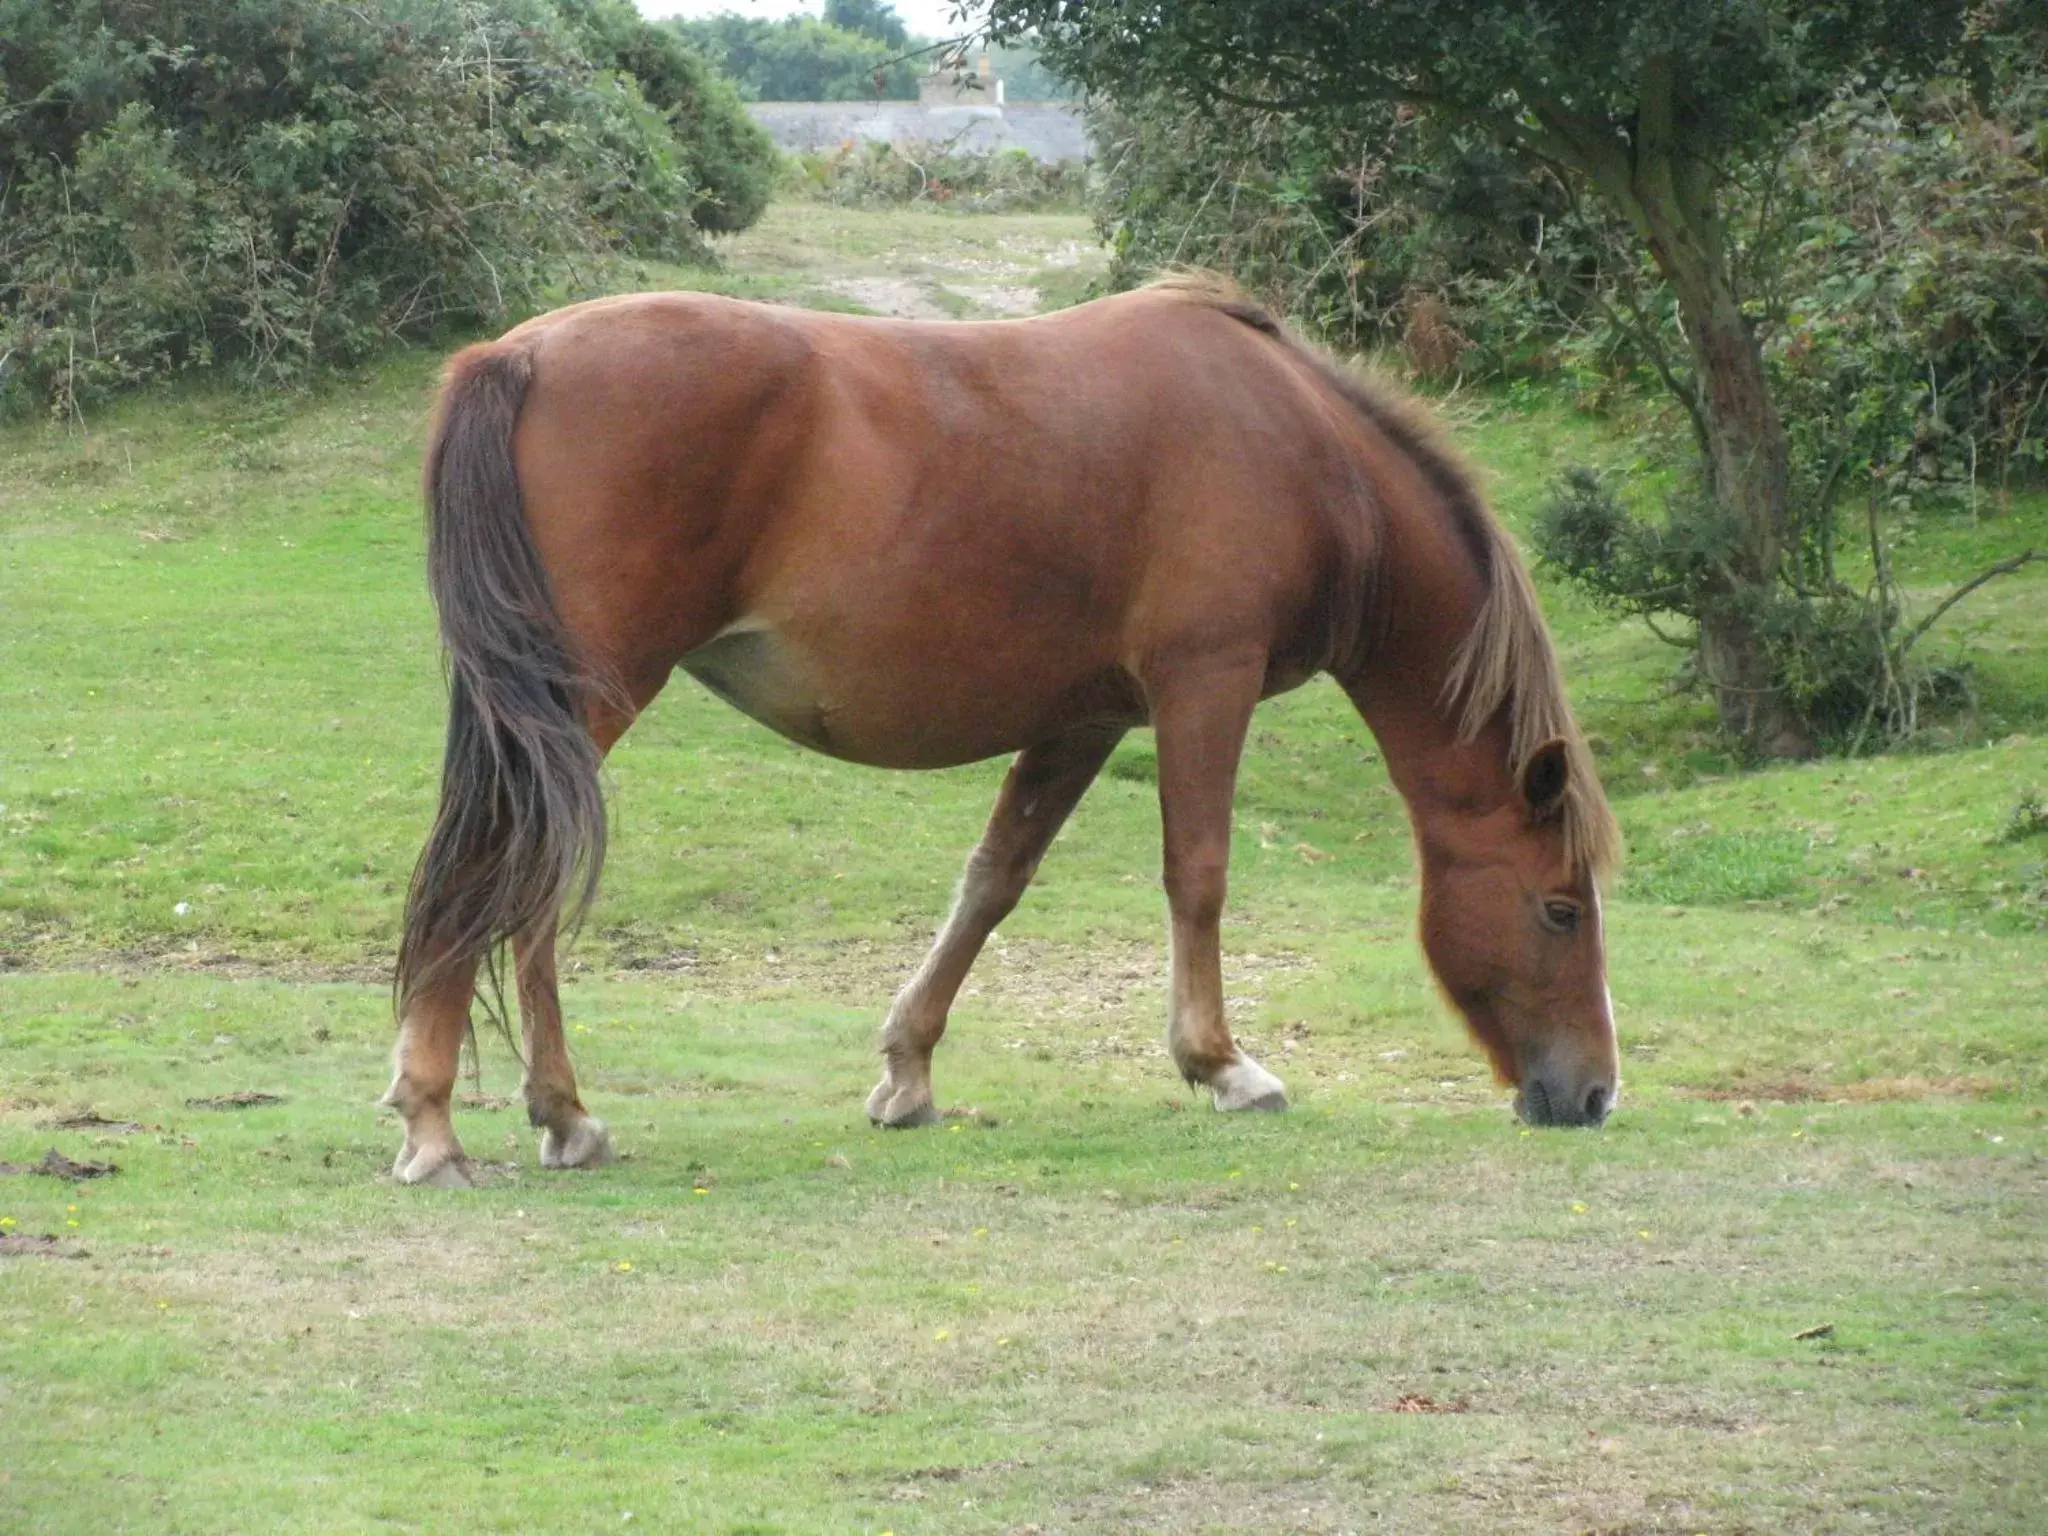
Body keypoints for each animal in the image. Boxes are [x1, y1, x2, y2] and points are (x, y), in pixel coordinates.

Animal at [380, 276, 1613, 1187]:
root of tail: (517, 356)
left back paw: (557, 1112)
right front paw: (1221, 1066)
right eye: (1559, 907)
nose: (1594, 1093)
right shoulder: (1201, 684)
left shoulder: (1086, 718)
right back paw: (439, 1123)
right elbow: (1198, 874)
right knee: (508, 870)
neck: (1306, 451)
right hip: (584, 702)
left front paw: (908, 1072)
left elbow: (993, 880)